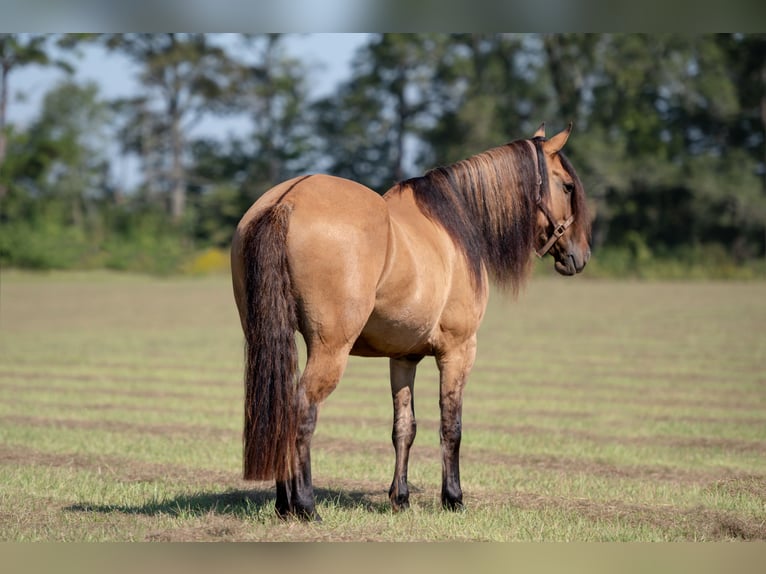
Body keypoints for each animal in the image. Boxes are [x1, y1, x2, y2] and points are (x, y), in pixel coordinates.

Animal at [231, 121, 592, 520]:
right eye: (568, 186)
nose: (581, 255)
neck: (455, 227)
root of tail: (286, 200)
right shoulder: (459, 350)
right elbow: (451, 425)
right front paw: (453, 498)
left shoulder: (403, 357)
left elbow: (404, 427)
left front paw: (400, 497)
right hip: (330, 349)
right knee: (301, 411)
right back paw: (305, 505)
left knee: (279, 410)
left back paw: (283, 504)